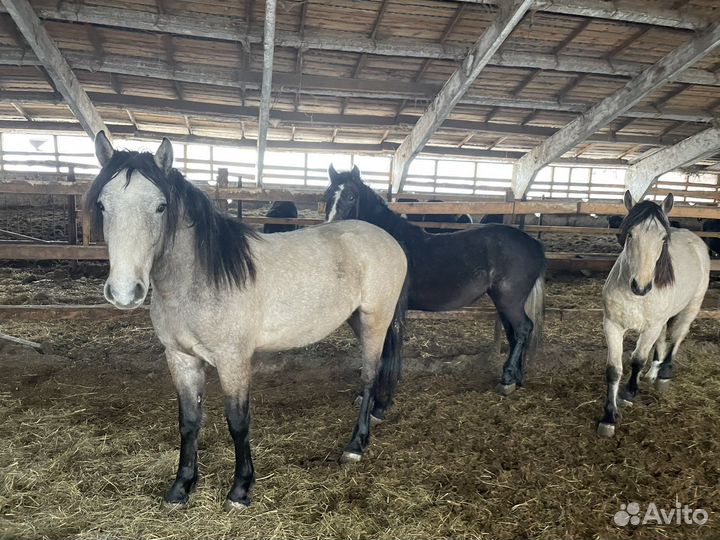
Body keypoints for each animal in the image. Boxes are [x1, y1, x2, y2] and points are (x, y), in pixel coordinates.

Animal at [86, 132, 409, 511]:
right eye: (103, 205)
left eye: (161, 206)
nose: (124, 292)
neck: (200, 279)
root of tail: (388, 239)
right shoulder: (181, 358)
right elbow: (189, 421)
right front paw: (181, 487)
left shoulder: (233, 360)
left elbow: (238, 421)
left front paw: (240, 489)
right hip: (358, 320)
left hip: (376, 319)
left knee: (370, 376)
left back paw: (356, 445)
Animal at [325, 165, 546, 395]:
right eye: (327, 196)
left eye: (351, 196)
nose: (332, 228)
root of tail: (534, 244)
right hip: (502, 300)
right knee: (513, 333)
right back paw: (514, 378)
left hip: (510, 300)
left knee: (523, 329)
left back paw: (508, 377)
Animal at [597, 191, 710, 437]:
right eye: (630, 234)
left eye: (663, 238)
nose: (641, 286)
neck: (636, 297)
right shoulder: (612, 325)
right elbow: (614, 370)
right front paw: (609, 417)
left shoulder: (650, 327)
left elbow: (637, 359)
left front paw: (629, 393)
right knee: (662, 340)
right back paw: (653, 372)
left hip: (692, 306)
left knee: (677, 336)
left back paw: (664, 373)